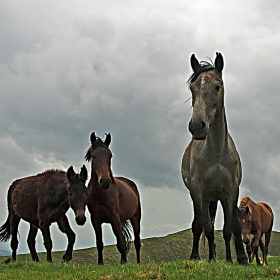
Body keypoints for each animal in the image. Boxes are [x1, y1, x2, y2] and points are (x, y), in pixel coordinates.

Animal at [85, 132, 142, 264]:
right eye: (94, 156)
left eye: (110, 155)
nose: (105, 182)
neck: (100, 195)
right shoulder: (95, 219)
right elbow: (99, 243)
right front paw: (100, 263)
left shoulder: (114, 216)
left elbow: (120, 243)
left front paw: (124, 263)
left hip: (136, 218)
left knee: (137, 242)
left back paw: (138, 262)